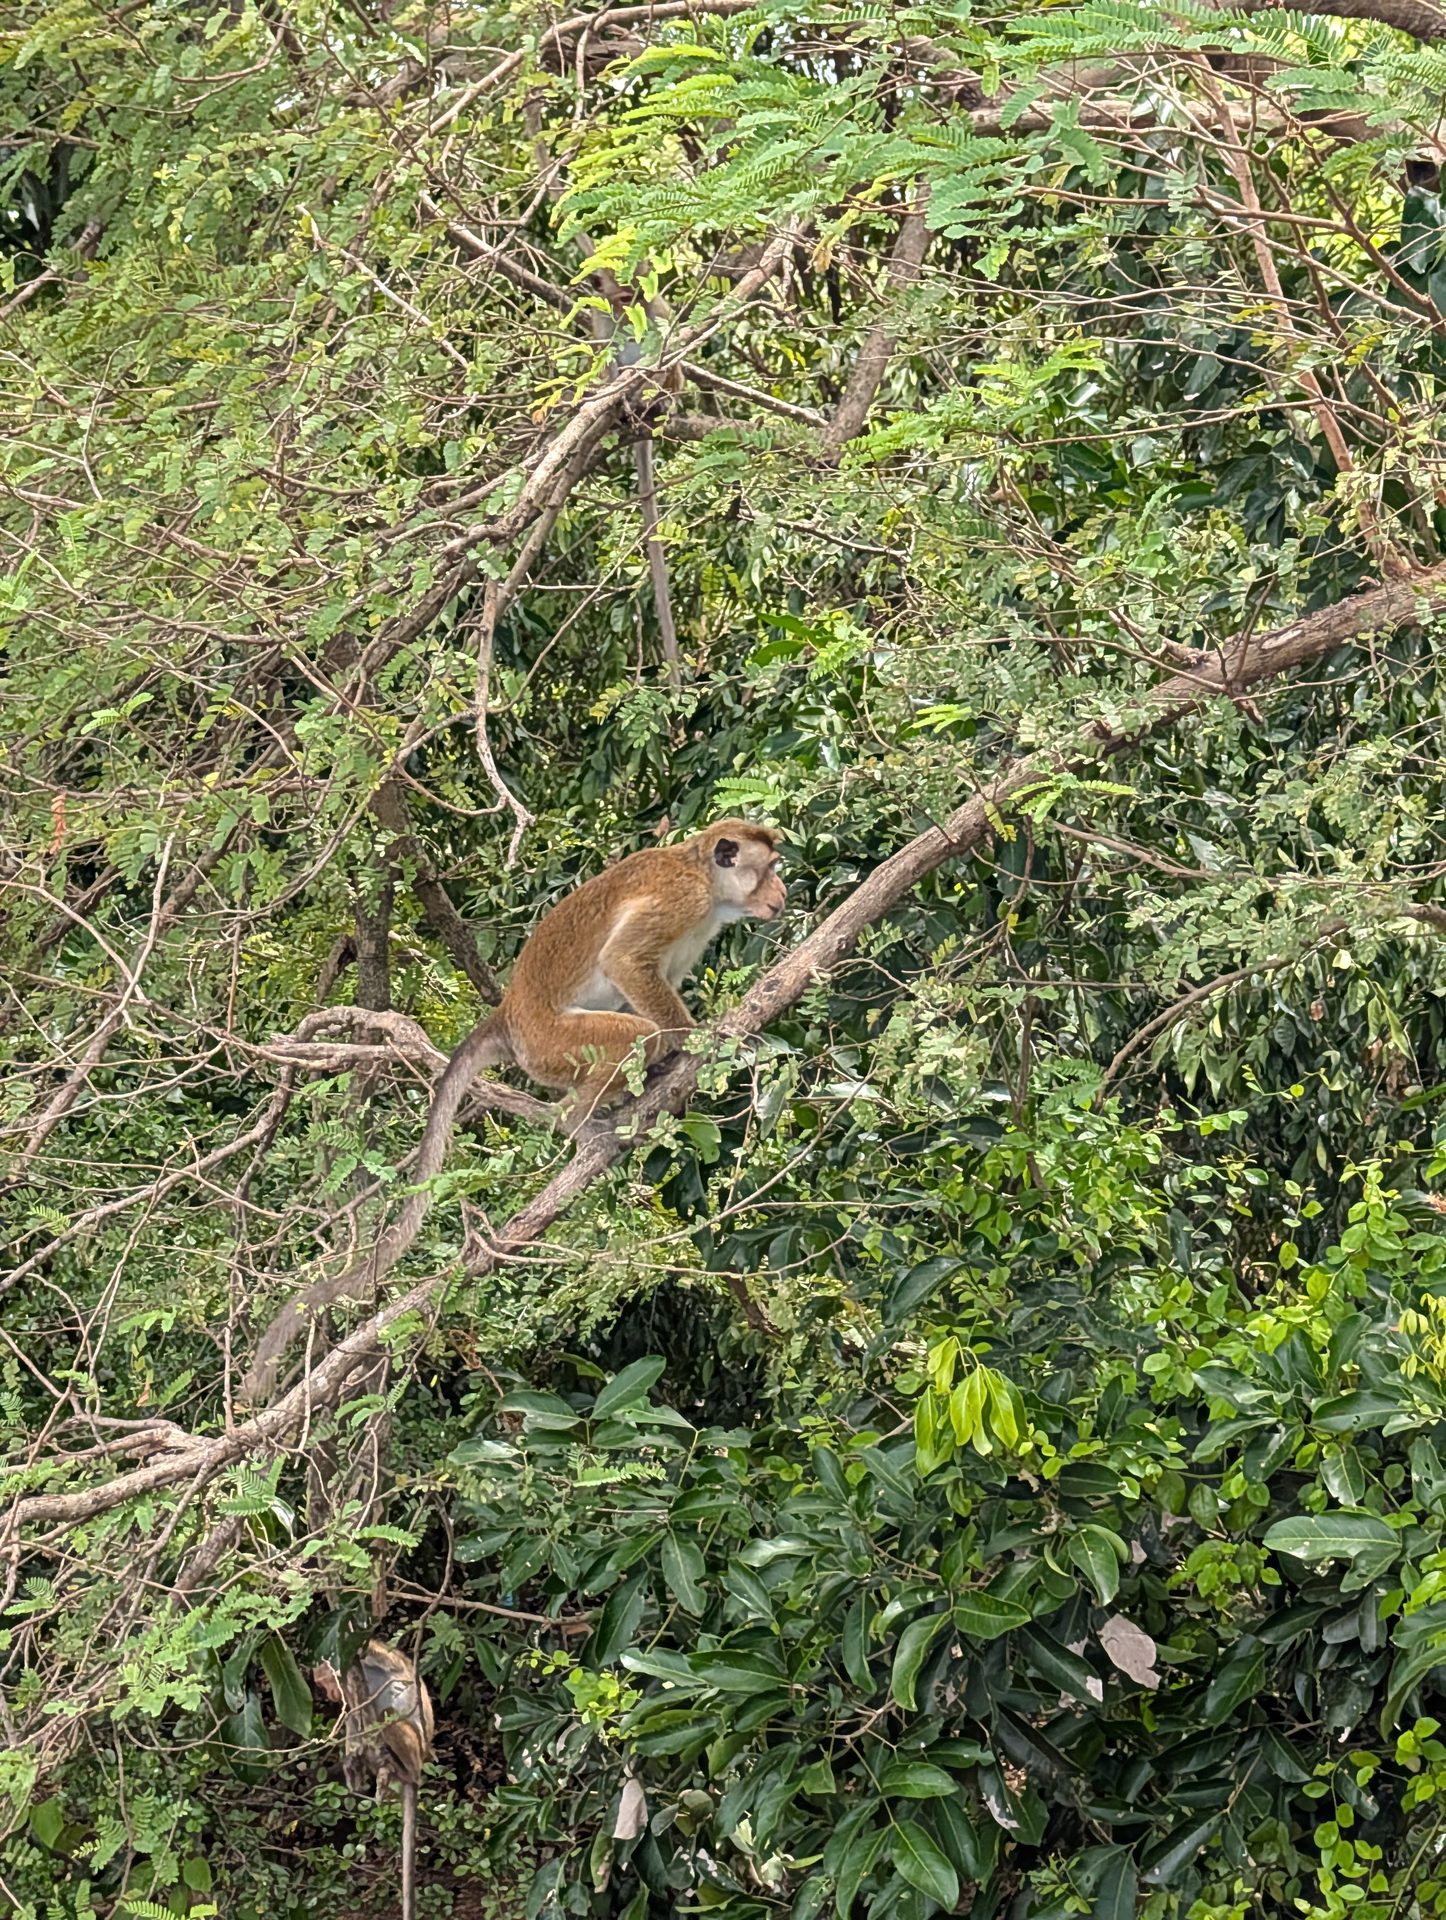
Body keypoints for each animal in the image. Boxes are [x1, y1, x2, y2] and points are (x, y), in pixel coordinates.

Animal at [238, 819, 784, 1405]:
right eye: (769, 869)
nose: (781, 893)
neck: (705, 878)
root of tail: (509, 1016)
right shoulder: (683, 901)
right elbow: (626, 965)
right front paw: (697, 1039)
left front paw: (676, 1061)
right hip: (554, 1043)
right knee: (632, 1033)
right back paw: (580, 1118)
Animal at [315, 1639, 434, 1920]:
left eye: (324, 1681)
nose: (328, 1694)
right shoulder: (349, 1688)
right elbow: (353, 1716)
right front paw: (351, 1763)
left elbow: (386, 1659)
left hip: (417, 1748)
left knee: (388, 1714)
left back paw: (399, 1771)